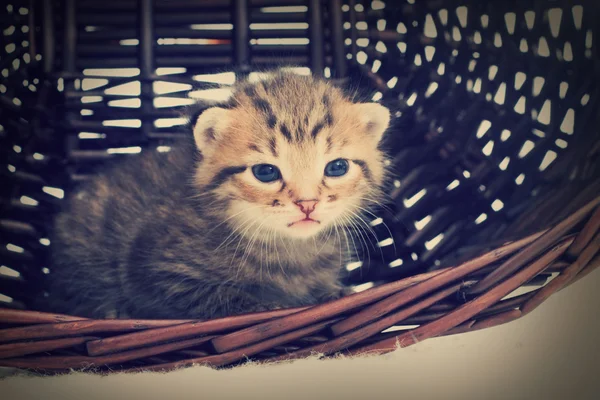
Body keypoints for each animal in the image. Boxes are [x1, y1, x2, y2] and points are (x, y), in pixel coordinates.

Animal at [48, 71, 394, 318]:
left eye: (337, 167)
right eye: (265, 172)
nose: (307, 203)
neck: (287, 250)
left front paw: (335, 292)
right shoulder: (152, 271)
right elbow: (211, 295)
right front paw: (266, 305)